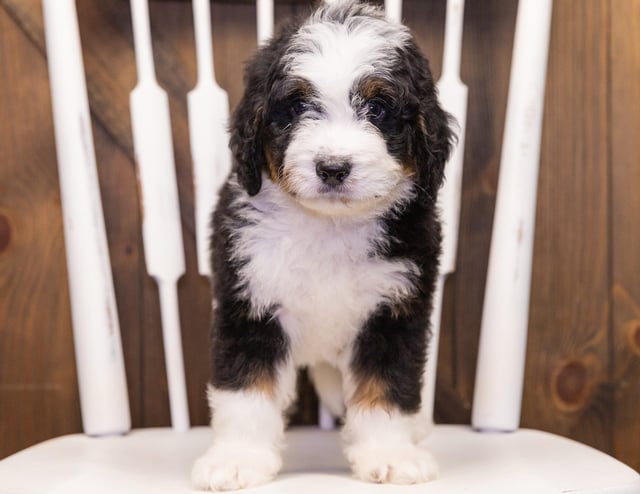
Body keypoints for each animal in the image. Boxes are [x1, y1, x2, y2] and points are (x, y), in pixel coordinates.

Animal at [192, 0, 452, 490]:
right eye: (296, 106)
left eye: (378, 108)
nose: (333, 167)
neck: (329, 226)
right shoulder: (248, 303)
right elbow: (246, 390)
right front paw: (238, 460)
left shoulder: (395, 312)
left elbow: (388, 387)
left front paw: (390, 455)